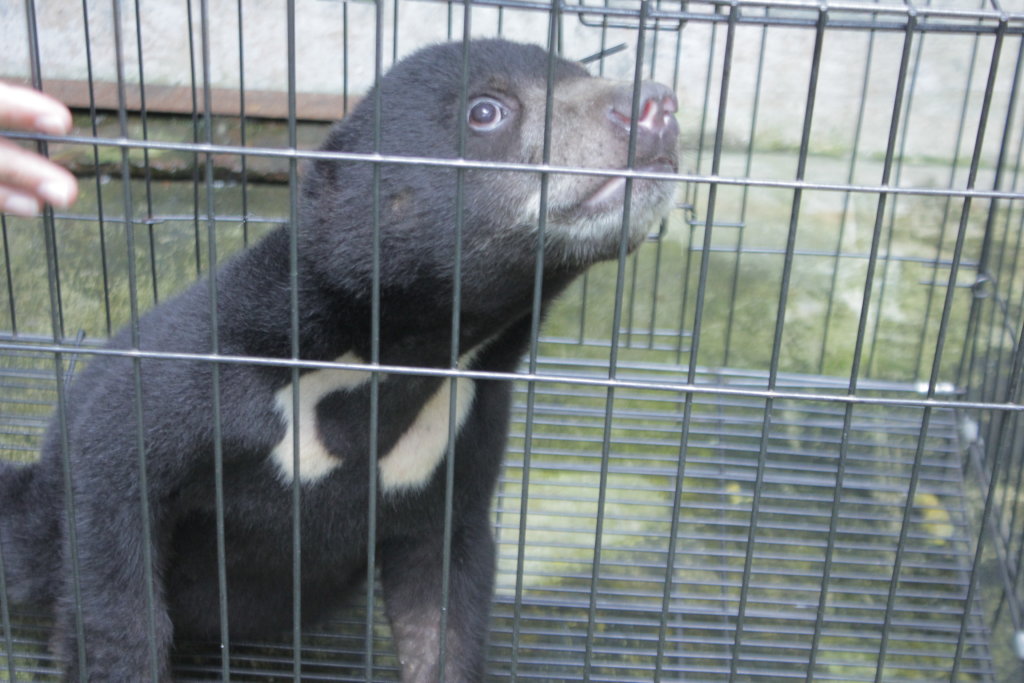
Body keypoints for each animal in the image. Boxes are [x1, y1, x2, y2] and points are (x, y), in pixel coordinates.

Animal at [0, 39, 678, 681]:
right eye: (487, 111)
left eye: (583, 73)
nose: (657, 105)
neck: (405, 355)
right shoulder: (210, 366)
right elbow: (117, 491)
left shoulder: (464, 430)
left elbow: (443, 607)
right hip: (38, 524)